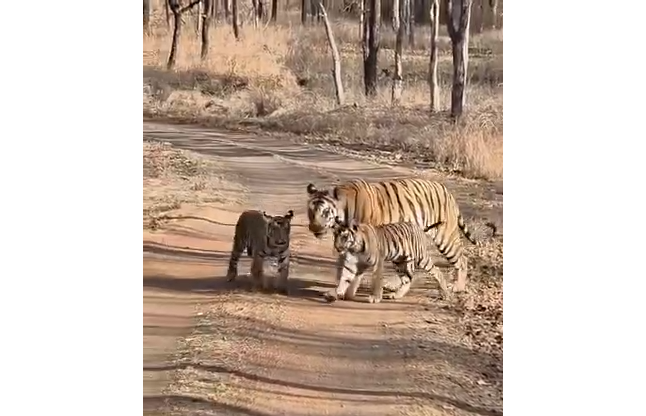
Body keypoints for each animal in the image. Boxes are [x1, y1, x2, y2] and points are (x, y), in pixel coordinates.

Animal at [306, 178, 477, 293]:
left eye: (325, 211)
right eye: (311, 211)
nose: (314, 227)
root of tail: (445, 190)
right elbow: (343, 267)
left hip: (445, 238)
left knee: (462, 260)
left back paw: (458, 287)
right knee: (406, 270)